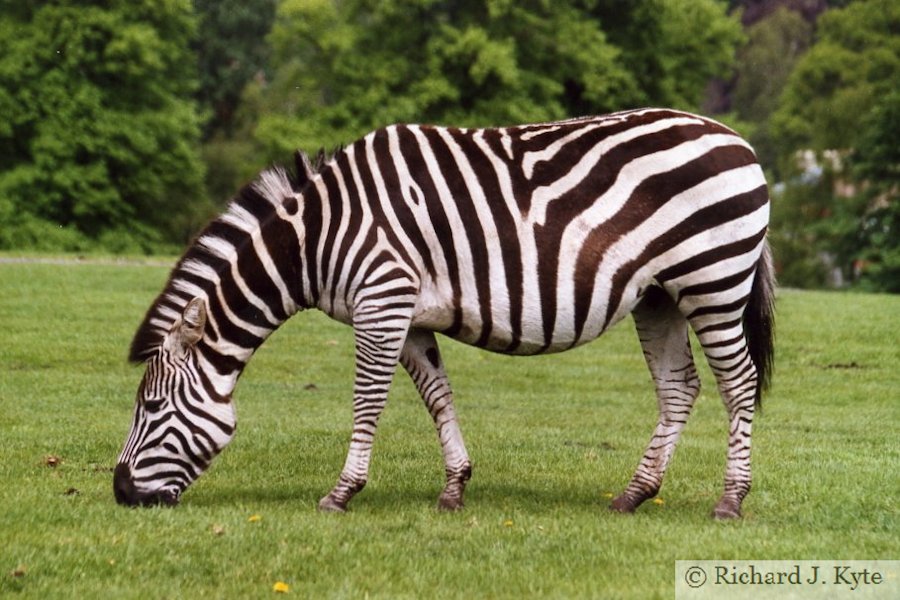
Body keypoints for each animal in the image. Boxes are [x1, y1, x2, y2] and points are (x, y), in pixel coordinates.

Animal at [112, 109, 772, 520]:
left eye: (152, 407)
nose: (120, 493)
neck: (317, 237)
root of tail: (737, 138)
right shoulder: (406, 315)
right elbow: (437, 395)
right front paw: (455, 486)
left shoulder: (382, 298)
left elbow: (368, 400)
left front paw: (341, 493)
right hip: (660, 295)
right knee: (679, 387)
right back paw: (635, 495)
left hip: (712, 279)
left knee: (738, 383)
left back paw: (730, 501)